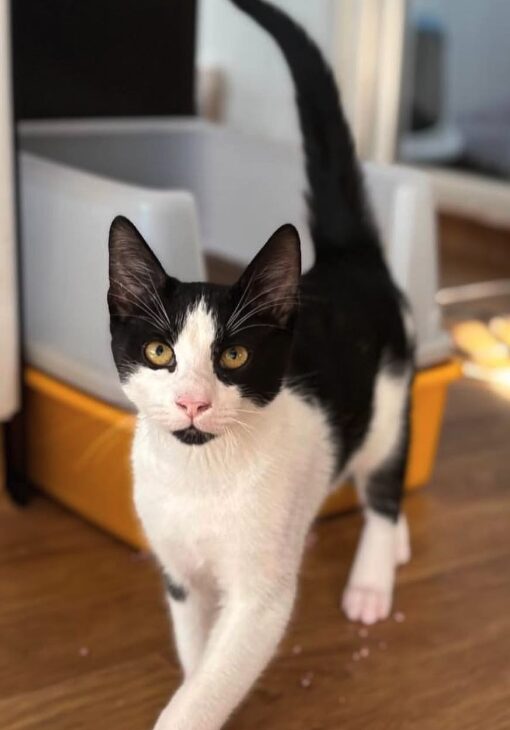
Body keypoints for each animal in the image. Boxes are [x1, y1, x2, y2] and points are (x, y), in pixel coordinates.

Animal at [107, 2, 414, 724]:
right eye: (160, 352)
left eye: (234, 354)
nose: (192, 401)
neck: (199, 476)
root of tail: (350, 257)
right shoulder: (180, 574)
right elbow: (199, 661)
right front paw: (198, 679)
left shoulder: (261, 596)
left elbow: (212, 682)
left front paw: (192, 707)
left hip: (389, 394)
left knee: (385, 480)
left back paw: (373, 575)